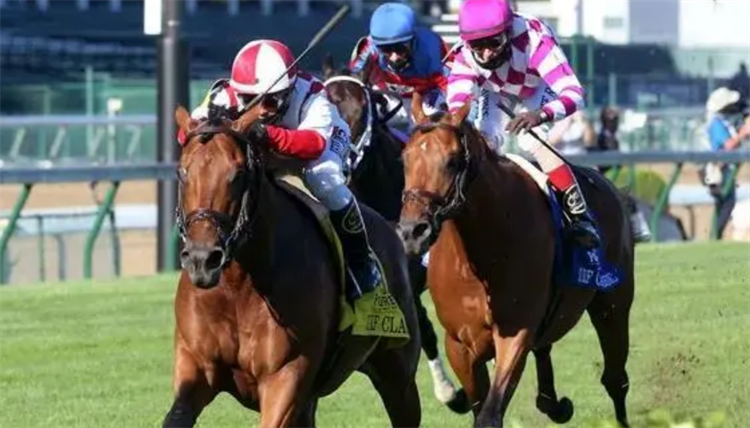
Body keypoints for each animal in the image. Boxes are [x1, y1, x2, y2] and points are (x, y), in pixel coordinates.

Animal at [163, 105, 422, 428]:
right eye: (182, 172)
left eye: (237, 174)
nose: (202, 259)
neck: (238, 287)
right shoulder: (196, 367)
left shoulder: (287, 376)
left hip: (398, 374)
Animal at [397, 93, 635, 428]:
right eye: (404, 159)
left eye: (452, 161)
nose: (411, 231)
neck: (478, 262)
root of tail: (609, 186)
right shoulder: (459, 344)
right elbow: (478, 406)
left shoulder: (515, 332)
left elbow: (489, 414)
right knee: (546, 351)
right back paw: (554, 404)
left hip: (612, 304)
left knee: (616, 379)